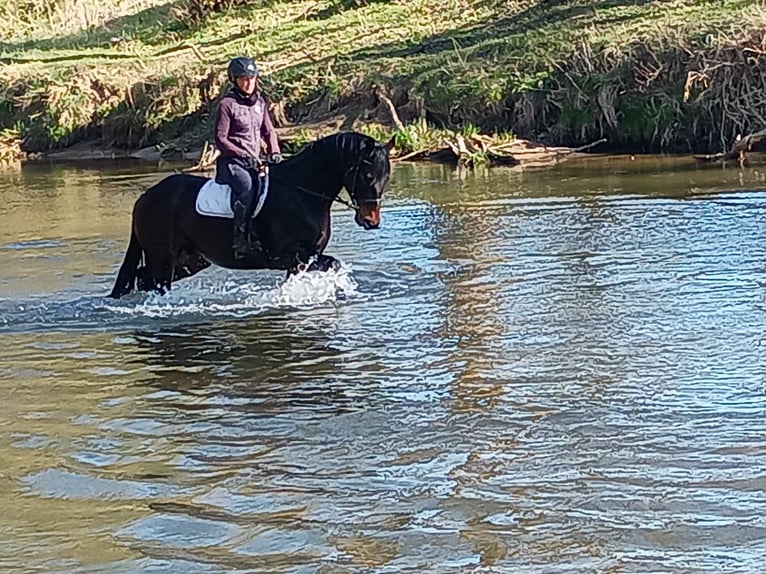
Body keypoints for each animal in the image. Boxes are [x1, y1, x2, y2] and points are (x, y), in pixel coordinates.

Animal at [108, 131, 392, 299]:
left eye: (386, 177)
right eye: (367, 175)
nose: (371, 222)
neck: (302, 193)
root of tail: (145, 198)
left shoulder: (306, 257)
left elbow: (329, 265)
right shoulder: (293, 256)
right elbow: (330, 264)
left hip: (189, 260)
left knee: (142, 277)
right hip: (163, 258)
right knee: (152, 280)